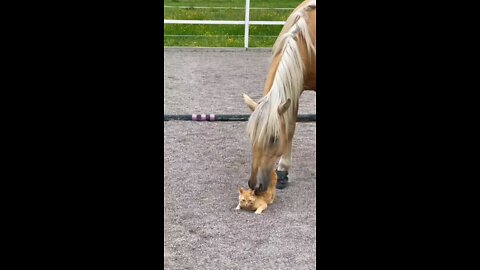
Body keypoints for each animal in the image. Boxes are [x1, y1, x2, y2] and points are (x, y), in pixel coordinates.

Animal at [244, 0, 316, 194]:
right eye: (251, 136)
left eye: (274, 138)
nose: (255, 185)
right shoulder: (294, 87)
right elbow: (290, 127)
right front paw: (283, 171)